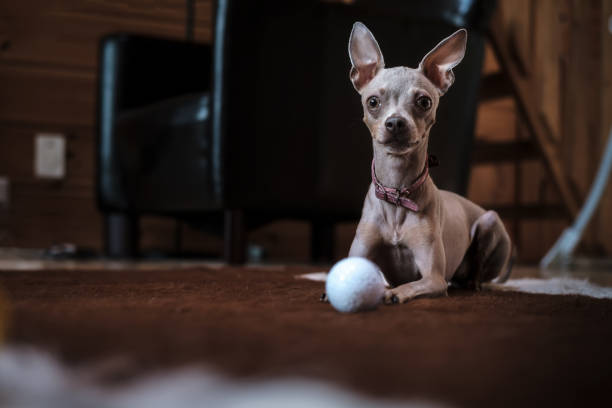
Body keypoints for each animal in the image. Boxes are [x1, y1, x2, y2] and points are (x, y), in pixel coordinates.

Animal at [344, 22, 512, 302]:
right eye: (373, 102)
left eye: (424, 101)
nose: (396, 123)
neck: (397, 193)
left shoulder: (433, 279)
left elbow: (412, 285)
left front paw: (393, 293)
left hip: (490, 221)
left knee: (474, 272)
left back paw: (473, 284)